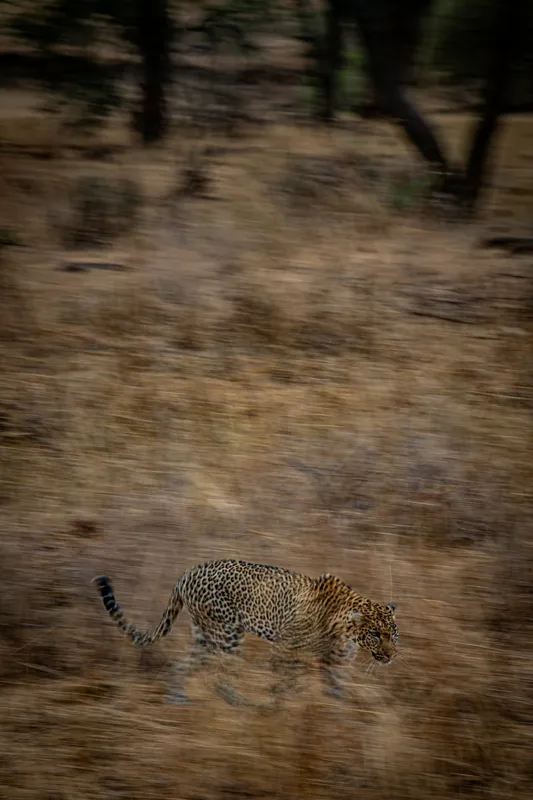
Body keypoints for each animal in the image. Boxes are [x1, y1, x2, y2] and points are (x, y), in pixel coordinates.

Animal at [93, 558, 398, 706]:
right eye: (375, 634)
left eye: (393, 633)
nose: (391, 655)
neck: (346, 630)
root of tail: (186, 574)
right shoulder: (286, 649)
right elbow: (284, 684)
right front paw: (278, 707)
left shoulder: (335, 664)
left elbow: (336, 691)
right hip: (227, 633)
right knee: (219, 676)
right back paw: (239, 703)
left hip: (205, 636)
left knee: (181, 664)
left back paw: (176, 700)